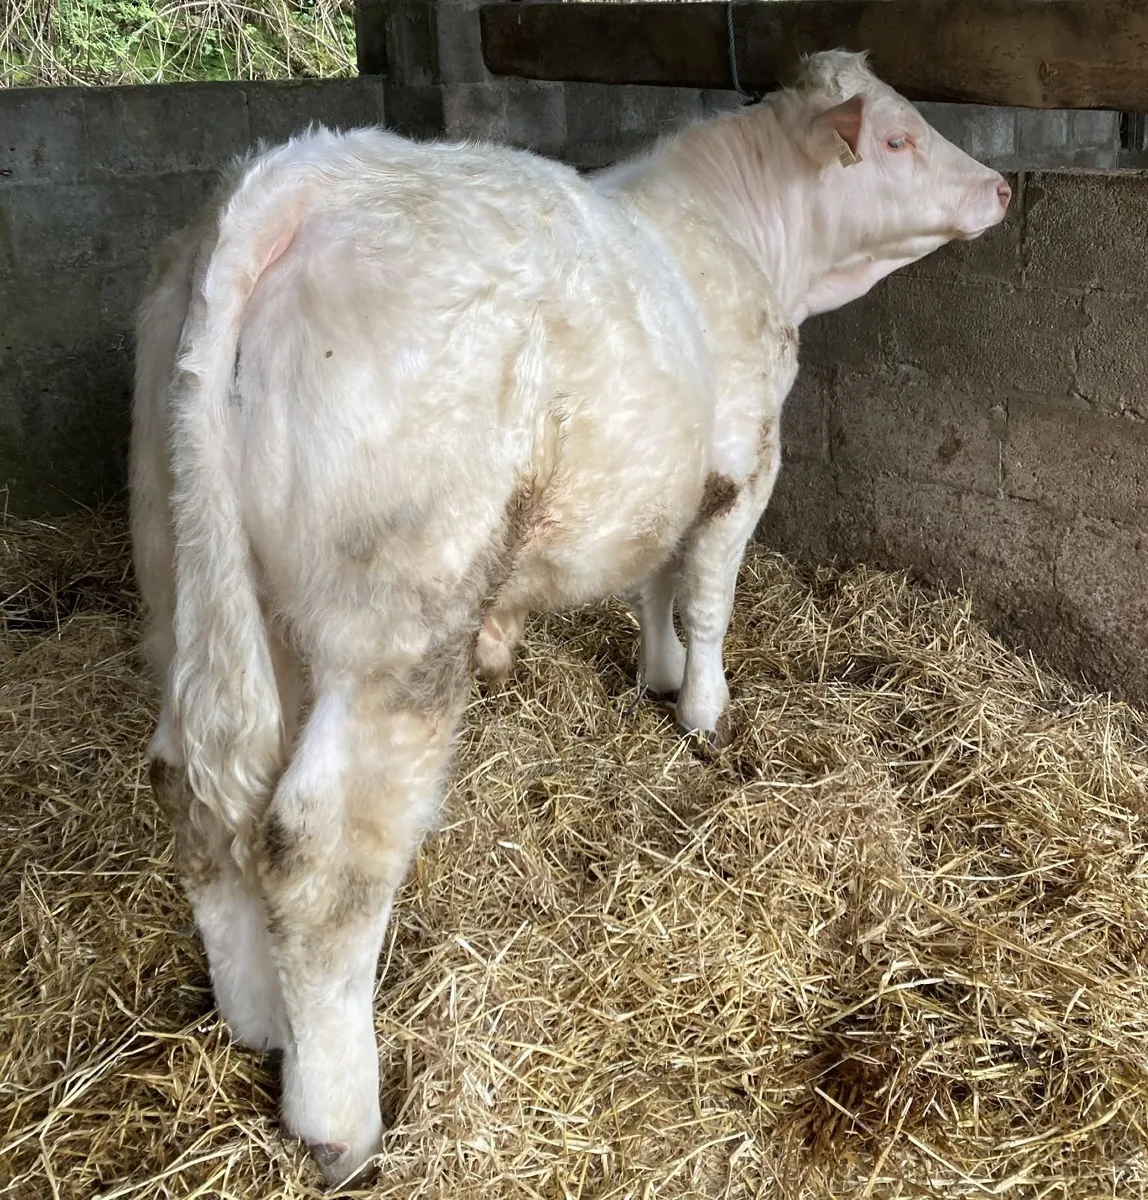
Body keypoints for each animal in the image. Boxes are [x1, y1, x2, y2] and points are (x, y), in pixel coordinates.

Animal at [129, 50, 1010, 1185]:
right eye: (899, 138)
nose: (999, 186)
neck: (750, 242)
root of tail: (299, 177)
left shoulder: (664, 484)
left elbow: (654, 584)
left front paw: (656, 674)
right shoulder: (743, 463)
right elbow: (709, 595)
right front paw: (704, 710)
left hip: (196, 582)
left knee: (201, 793)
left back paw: (255, 1024)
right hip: (397, 617)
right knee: (320, 854)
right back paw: (339, 1121)